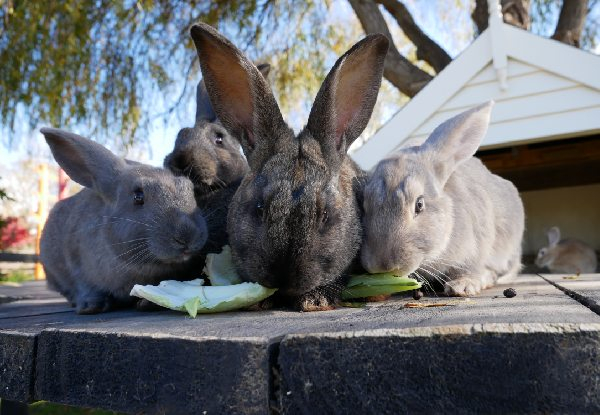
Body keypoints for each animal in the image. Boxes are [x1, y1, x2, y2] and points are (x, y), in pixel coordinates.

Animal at [39, 128, 209, 314]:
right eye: (138, 196)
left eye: (190, 190)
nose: (187, 236)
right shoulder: (74, 260)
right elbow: (84, 285)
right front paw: (91, 306)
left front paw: (149, 302)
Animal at [360, 102, 524, 298]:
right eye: (364, 205)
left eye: (419, 204)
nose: (383, 266)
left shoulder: (477, 247)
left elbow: (470, 268)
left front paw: (461, 286)